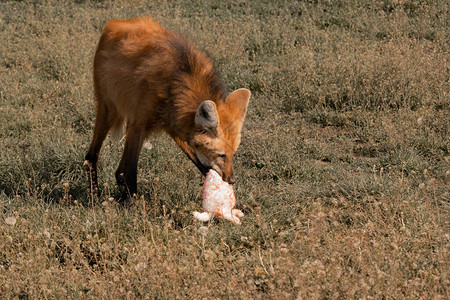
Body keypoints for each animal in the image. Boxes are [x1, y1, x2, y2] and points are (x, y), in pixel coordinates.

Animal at [84, 16, 251, 204]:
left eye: (232, 154)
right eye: (221, 155)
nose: (232, 180)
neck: (177, 81)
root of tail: (116, 22)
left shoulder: (176, 125)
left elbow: (202, 165)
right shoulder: (139, 124)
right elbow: (131, 171)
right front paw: (131, 206)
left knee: (118, 169)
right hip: (108, 111)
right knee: (92, 157)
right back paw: (95, 196)